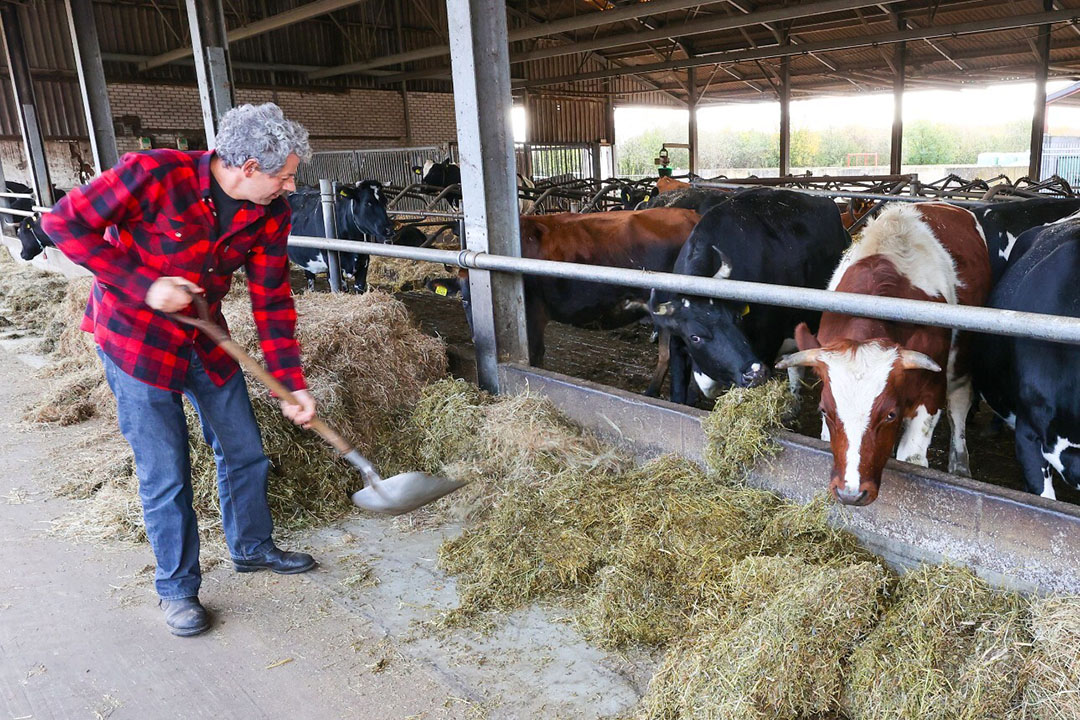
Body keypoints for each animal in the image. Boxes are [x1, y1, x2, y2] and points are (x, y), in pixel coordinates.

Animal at [648, 185, 851, 405]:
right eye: (694, 337)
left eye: (737, 318)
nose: (755, 373)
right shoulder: (677, 345)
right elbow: (678, 395)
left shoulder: (769, 342)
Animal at [777, 202, 989, 507]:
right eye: (824, 410)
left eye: (889, 415)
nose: (851, 493)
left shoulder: (931, 392)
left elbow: (913, 456)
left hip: (961, 358)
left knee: (959, 402)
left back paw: (960, 462)